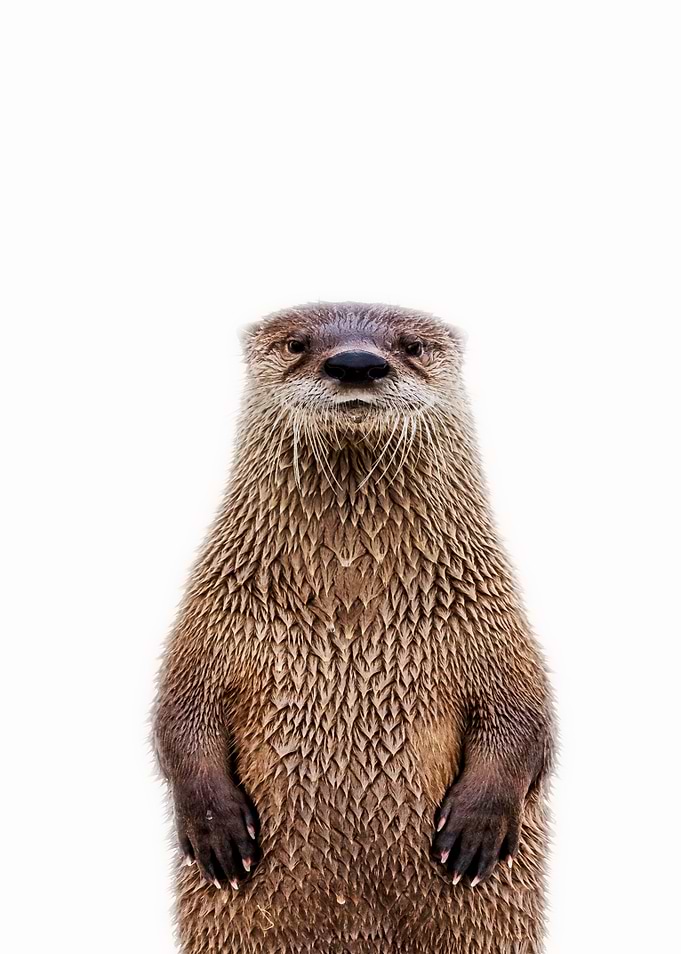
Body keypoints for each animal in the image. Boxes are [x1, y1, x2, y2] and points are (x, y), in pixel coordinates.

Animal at [153, 302, 555, 954]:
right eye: (297, 344)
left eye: (412, 345)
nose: (357, 362)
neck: (352, 605)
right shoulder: (215, 613)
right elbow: (179, 711)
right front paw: (214, 824)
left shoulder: (490, 617)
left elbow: (524, 714)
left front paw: (478, 825)